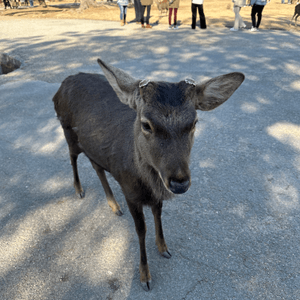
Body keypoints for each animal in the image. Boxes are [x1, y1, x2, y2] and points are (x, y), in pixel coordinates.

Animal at [52, 58, 245, 290]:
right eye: (146, 124)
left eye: (194, 122)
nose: (179, 182)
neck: (146, 183)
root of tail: (61, 86)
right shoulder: (129, 191)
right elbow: (141, 229)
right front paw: (145, 276)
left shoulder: (155, 194)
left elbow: (158, 214)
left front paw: (164, 248)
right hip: (67, 130)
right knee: (72, 157)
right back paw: (79, 189)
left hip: (92, 146)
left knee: (96, 166)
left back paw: (113, 205)